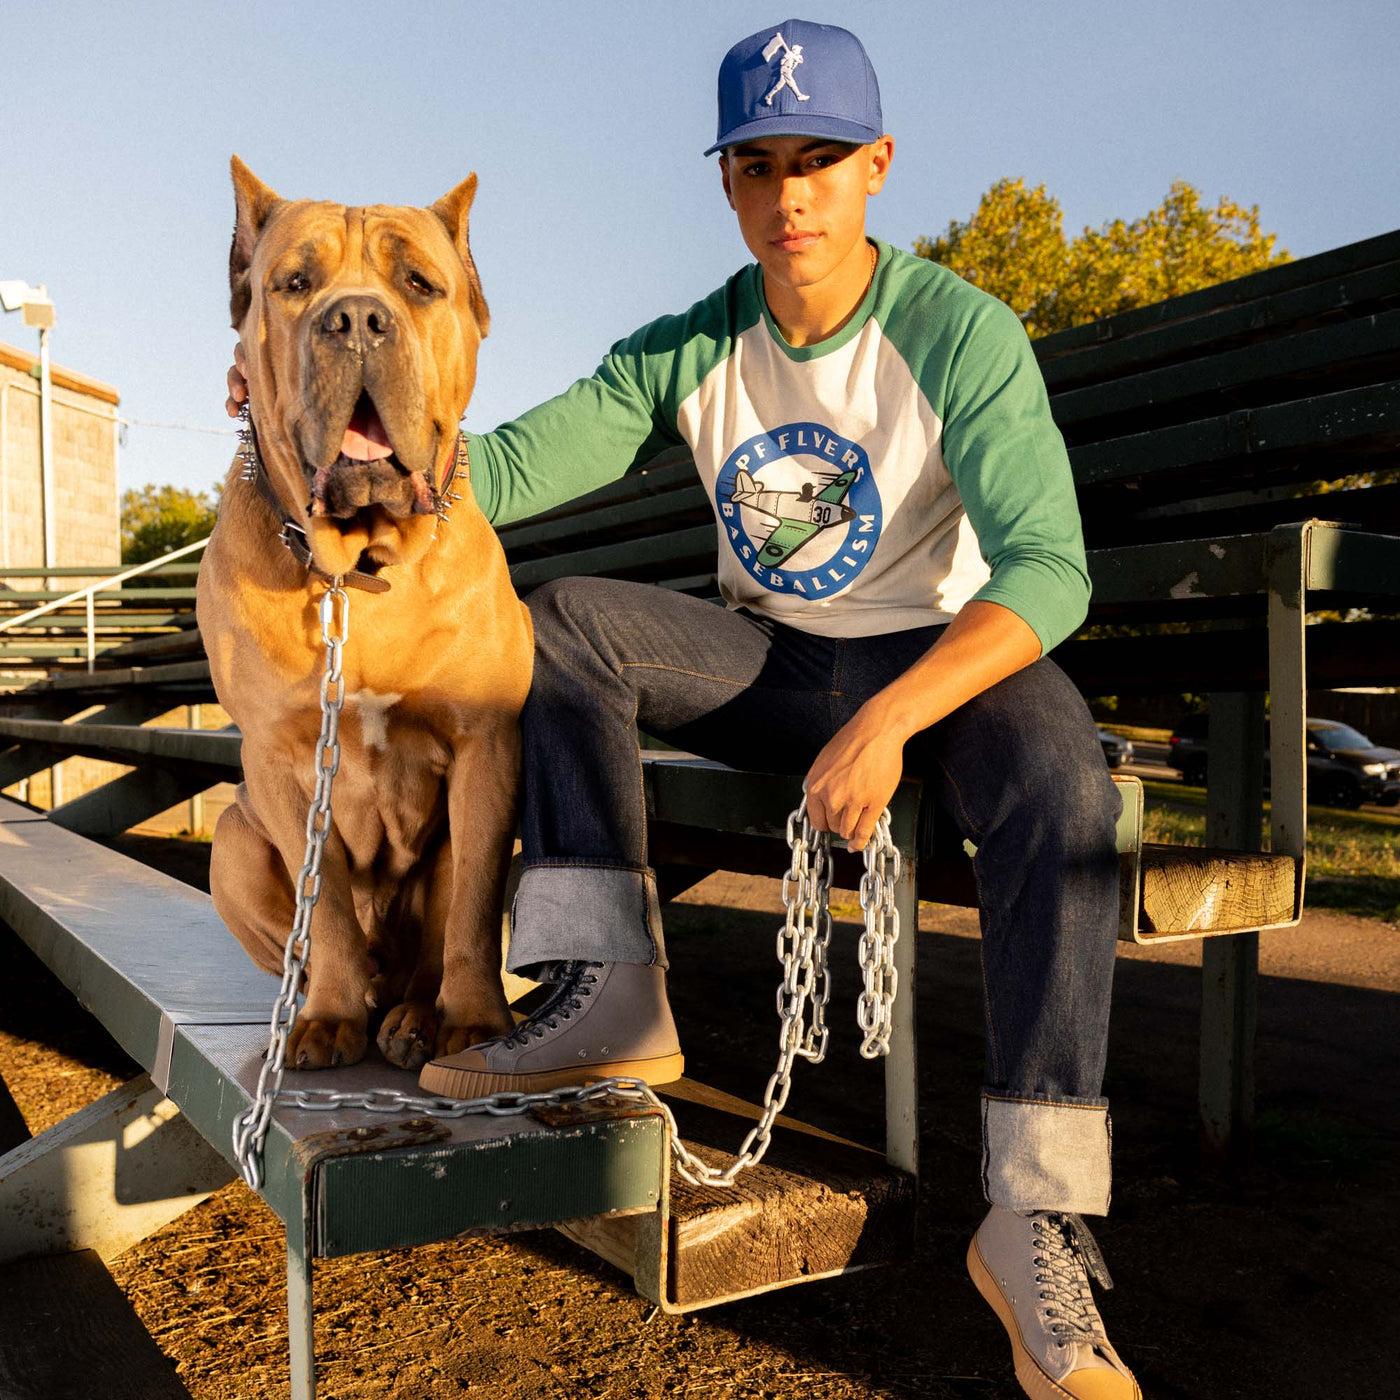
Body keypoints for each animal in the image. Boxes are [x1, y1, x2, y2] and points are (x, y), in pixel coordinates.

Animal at [194, 156, 526, 1069]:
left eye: (418, 284)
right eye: (294, 284)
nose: (355, 319)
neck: (361, 573)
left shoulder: (487, 748)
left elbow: (471, 905)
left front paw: (476, 1022)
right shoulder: (280, 759)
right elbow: (329, 911)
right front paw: (330, 1016)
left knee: (434, 943)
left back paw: (417, 1015)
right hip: (232, 842)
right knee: (310, 946)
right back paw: (342, 1000)